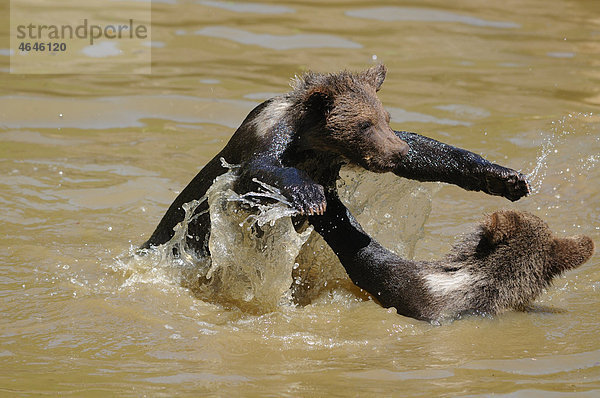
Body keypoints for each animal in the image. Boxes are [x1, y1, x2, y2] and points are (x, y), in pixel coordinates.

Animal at [143, 65, 528, 260]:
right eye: (364, 124)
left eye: (385, 117)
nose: (397, 151)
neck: (310, 144)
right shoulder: (262, 143)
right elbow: (259, 170)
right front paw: (311, 195)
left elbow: (430, 154)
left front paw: (504, 177)